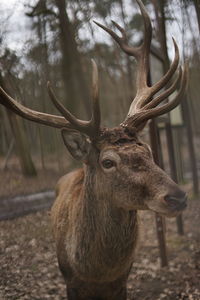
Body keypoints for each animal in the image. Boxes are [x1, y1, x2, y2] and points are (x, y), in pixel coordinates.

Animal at [0, 0, 188, 300]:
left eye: (147, 150)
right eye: (107, 162)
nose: (177, 197)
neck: (97, 272)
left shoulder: (123, 280)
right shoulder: (70, 279)